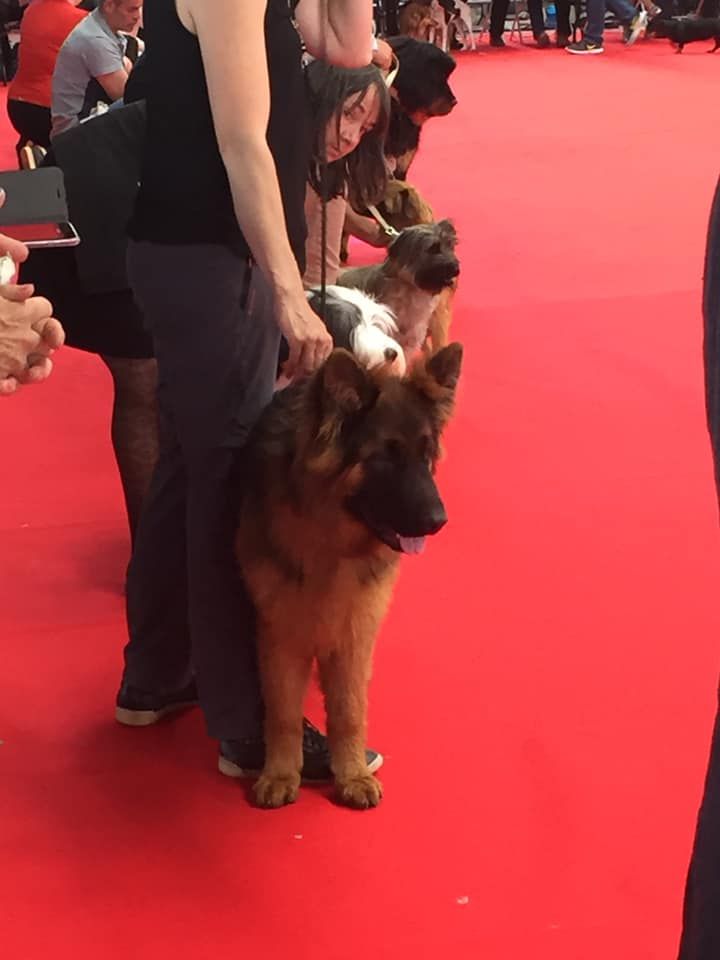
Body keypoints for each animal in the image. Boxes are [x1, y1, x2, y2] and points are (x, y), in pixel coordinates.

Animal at [233, 344, 464, 808]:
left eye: (425, 455)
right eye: (386, 456)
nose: (439, 521)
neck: (330, 541)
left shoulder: (355, 632)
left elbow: (350, 710)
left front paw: (352, 773)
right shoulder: (279, 633)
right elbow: (282, 712)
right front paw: (280, 773)